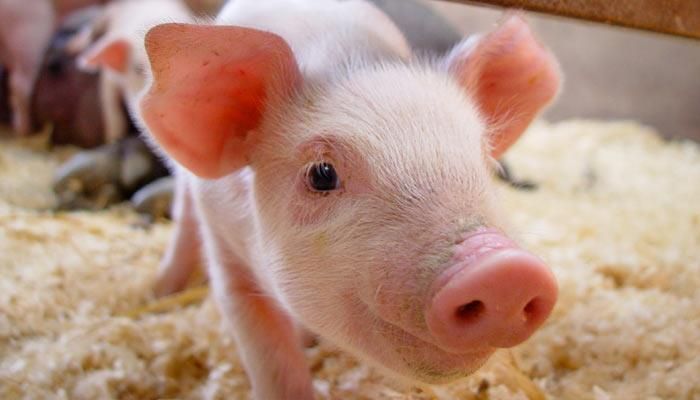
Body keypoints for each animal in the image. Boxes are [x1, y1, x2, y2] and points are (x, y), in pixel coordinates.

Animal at [139, 1, 560, 398]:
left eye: (486, 160)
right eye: (322, 174)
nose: (504, 271)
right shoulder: (223, 239)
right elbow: (265, 348)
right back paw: (162, 289)